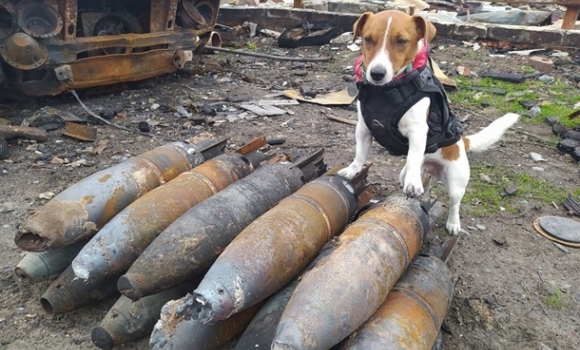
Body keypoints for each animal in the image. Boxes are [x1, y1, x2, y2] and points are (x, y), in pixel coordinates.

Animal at [338, 10, 520, 235]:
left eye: (401, 41)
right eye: (368, 39)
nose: (377, 74)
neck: (386, 92)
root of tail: (462, 143)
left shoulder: (417, 131)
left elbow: (413, 157)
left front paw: (413, 183)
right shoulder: (364, 129)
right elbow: (360, 155)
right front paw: (353, 170)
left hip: (456, 182)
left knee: (454, 203)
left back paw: (453, 223)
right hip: (418, 173)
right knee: (426, 183)